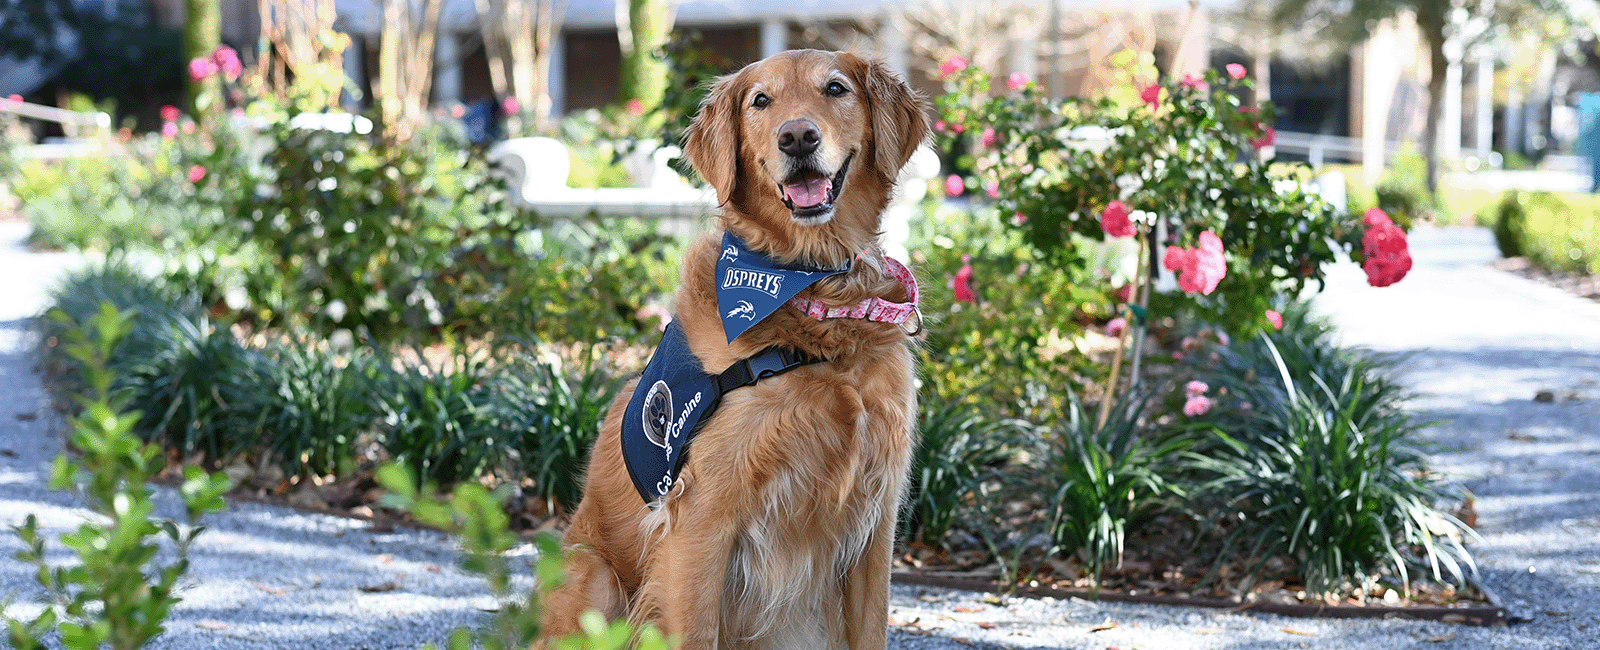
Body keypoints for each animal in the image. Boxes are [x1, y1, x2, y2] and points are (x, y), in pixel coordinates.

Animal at [544, 50, 934, 650]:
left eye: (836, 88)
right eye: (761, 101)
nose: (797, 137)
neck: (813, 297)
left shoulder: (876, 521)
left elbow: (871, 630)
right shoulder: (703, 514)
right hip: (595, 575)